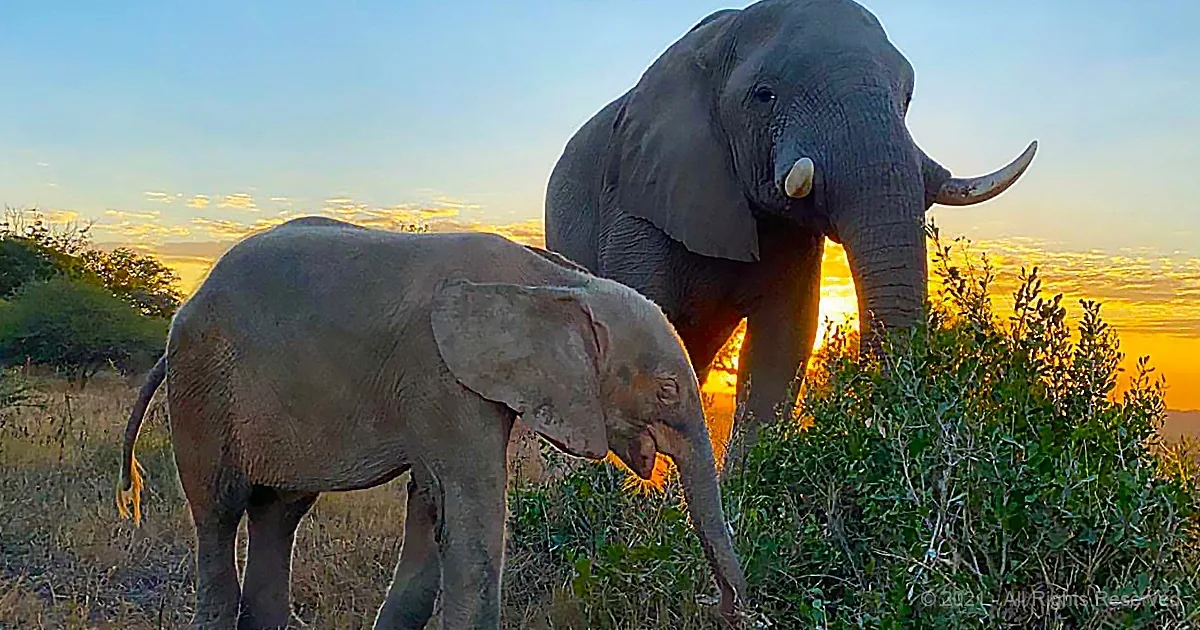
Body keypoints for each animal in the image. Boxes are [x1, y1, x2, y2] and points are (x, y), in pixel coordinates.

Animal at [114, 216, 747, 629]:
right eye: (666, 389)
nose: (723, 610)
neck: (550, 280)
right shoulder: (439, 373)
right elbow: (472, 521)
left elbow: (433, 512)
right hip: (204, 388)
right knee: (220, 513)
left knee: (279, 511)